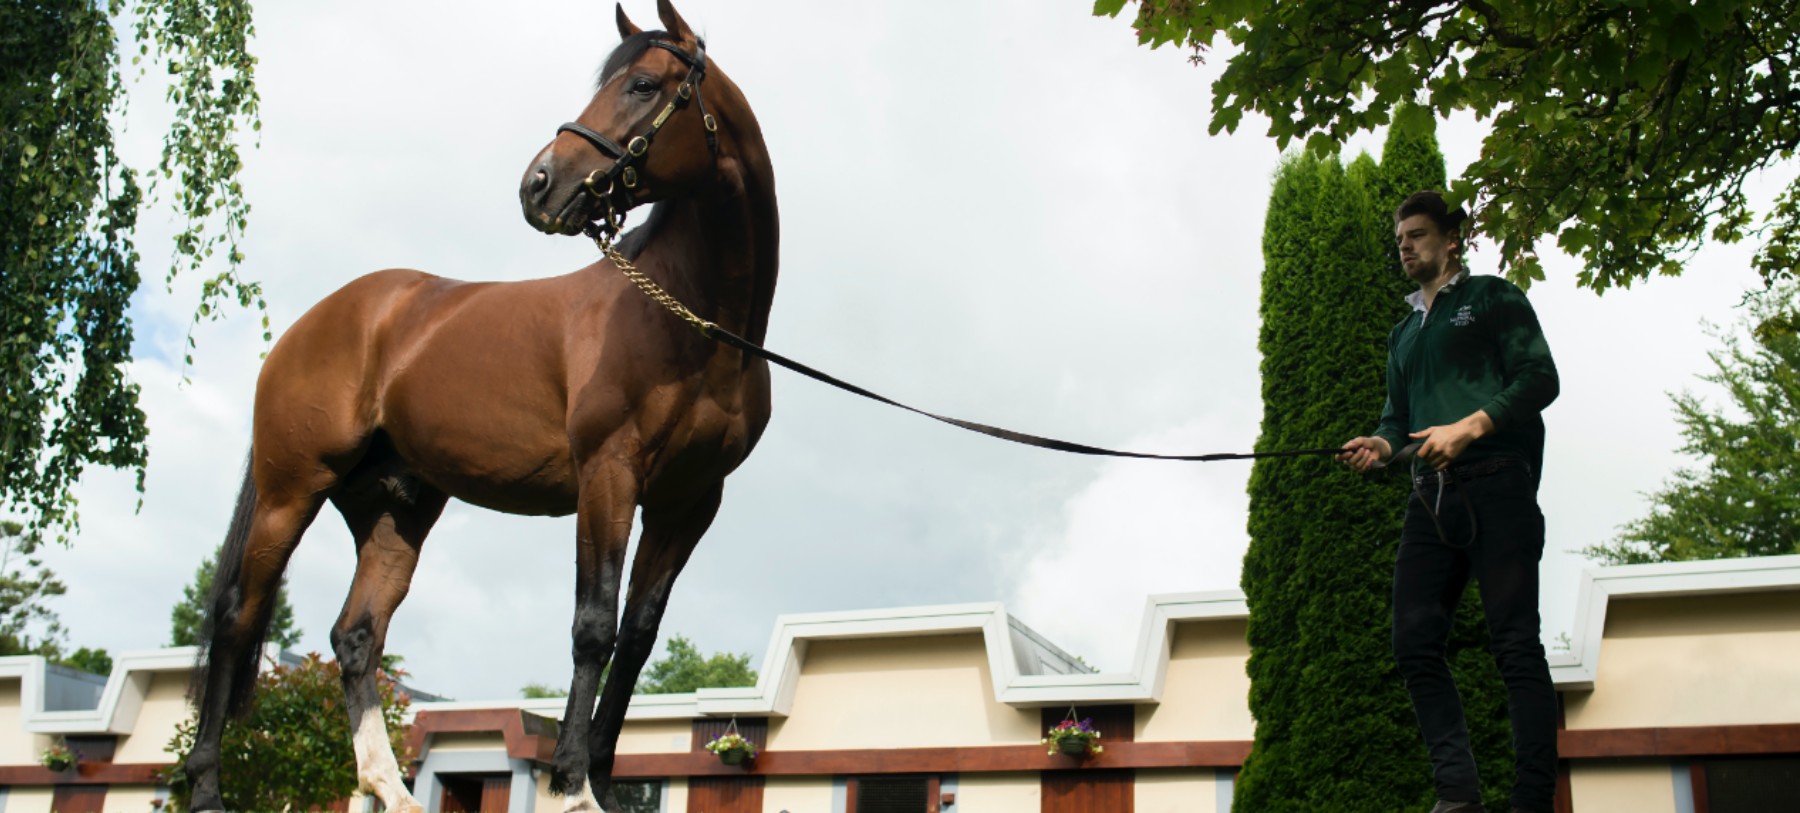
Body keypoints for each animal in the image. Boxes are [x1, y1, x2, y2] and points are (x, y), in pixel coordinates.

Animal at [183, 2, 777, 810]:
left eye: (644, 85)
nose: (539, 184)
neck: (688, 317)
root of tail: (317, 321)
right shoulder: (609, 475)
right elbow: (593, 626)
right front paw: (571, 786)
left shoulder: (689, 501)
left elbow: (636, 638)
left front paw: (597, 778)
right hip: (290, 490)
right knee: (238, 617)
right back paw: (207, 789)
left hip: (395, 508)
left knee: (356, 635)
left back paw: (390, 787)